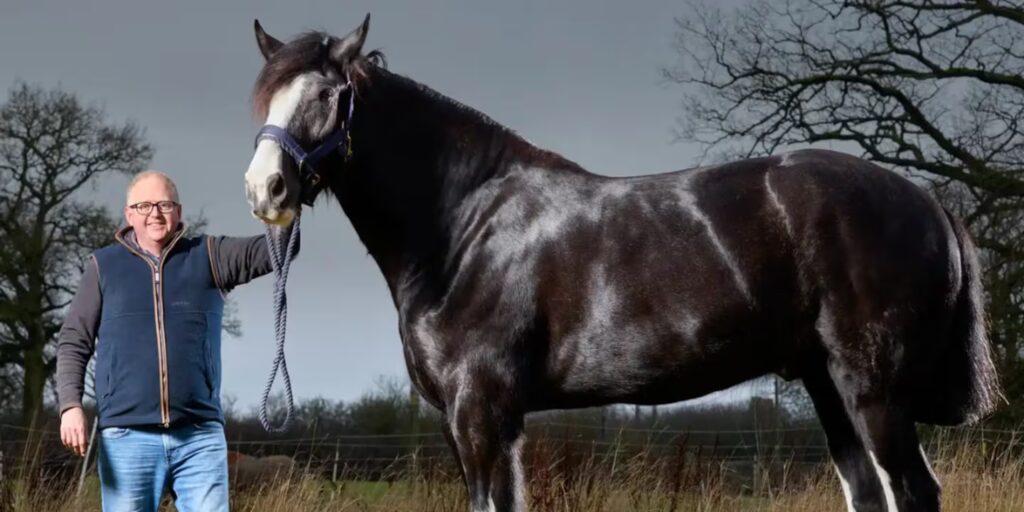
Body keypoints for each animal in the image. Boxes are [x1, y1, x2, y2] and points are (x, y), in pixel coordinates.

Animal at [242, 15, 1000, 512]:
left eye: (325, 95)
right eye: (265, 98)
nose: (265, 189)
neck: (463, 226)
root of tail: (926, 200)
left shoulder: (482, 412)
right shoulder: (471, 423)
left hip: (873, 391)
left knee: (914, 492)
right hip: (827, 384)